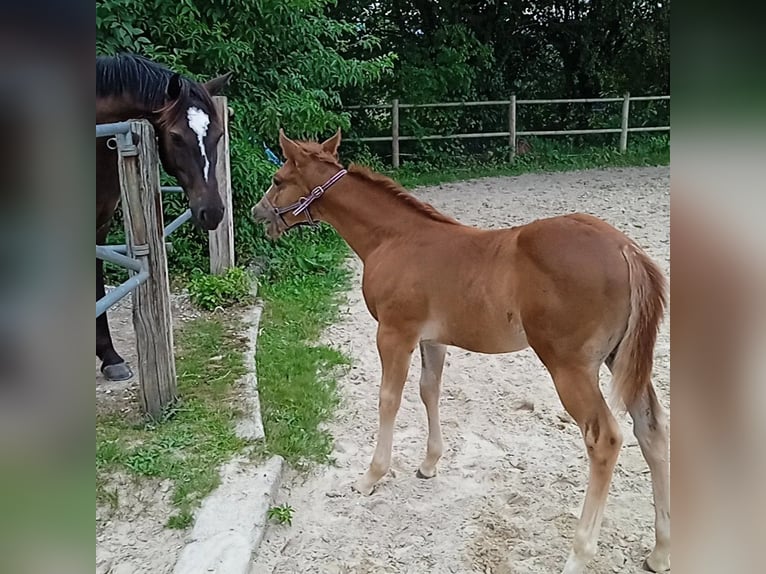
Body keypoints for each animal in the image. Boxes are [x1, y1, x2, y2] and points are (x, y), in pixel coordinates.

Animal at [254, 130, 672, 574]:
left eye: (279, 179)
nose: (257, 212)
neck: (394, 239)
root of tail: (626, 249)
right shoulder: (431, 338)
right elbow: (429, 390)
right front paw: (428, 464)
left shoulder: (394, 333)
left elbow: (389, 399)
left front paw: (370, 476)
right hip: (621, 359)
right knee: (652, 428)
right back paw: (660, 551)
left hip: (569, 367)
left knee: (605, 438)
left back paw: (579, 555)